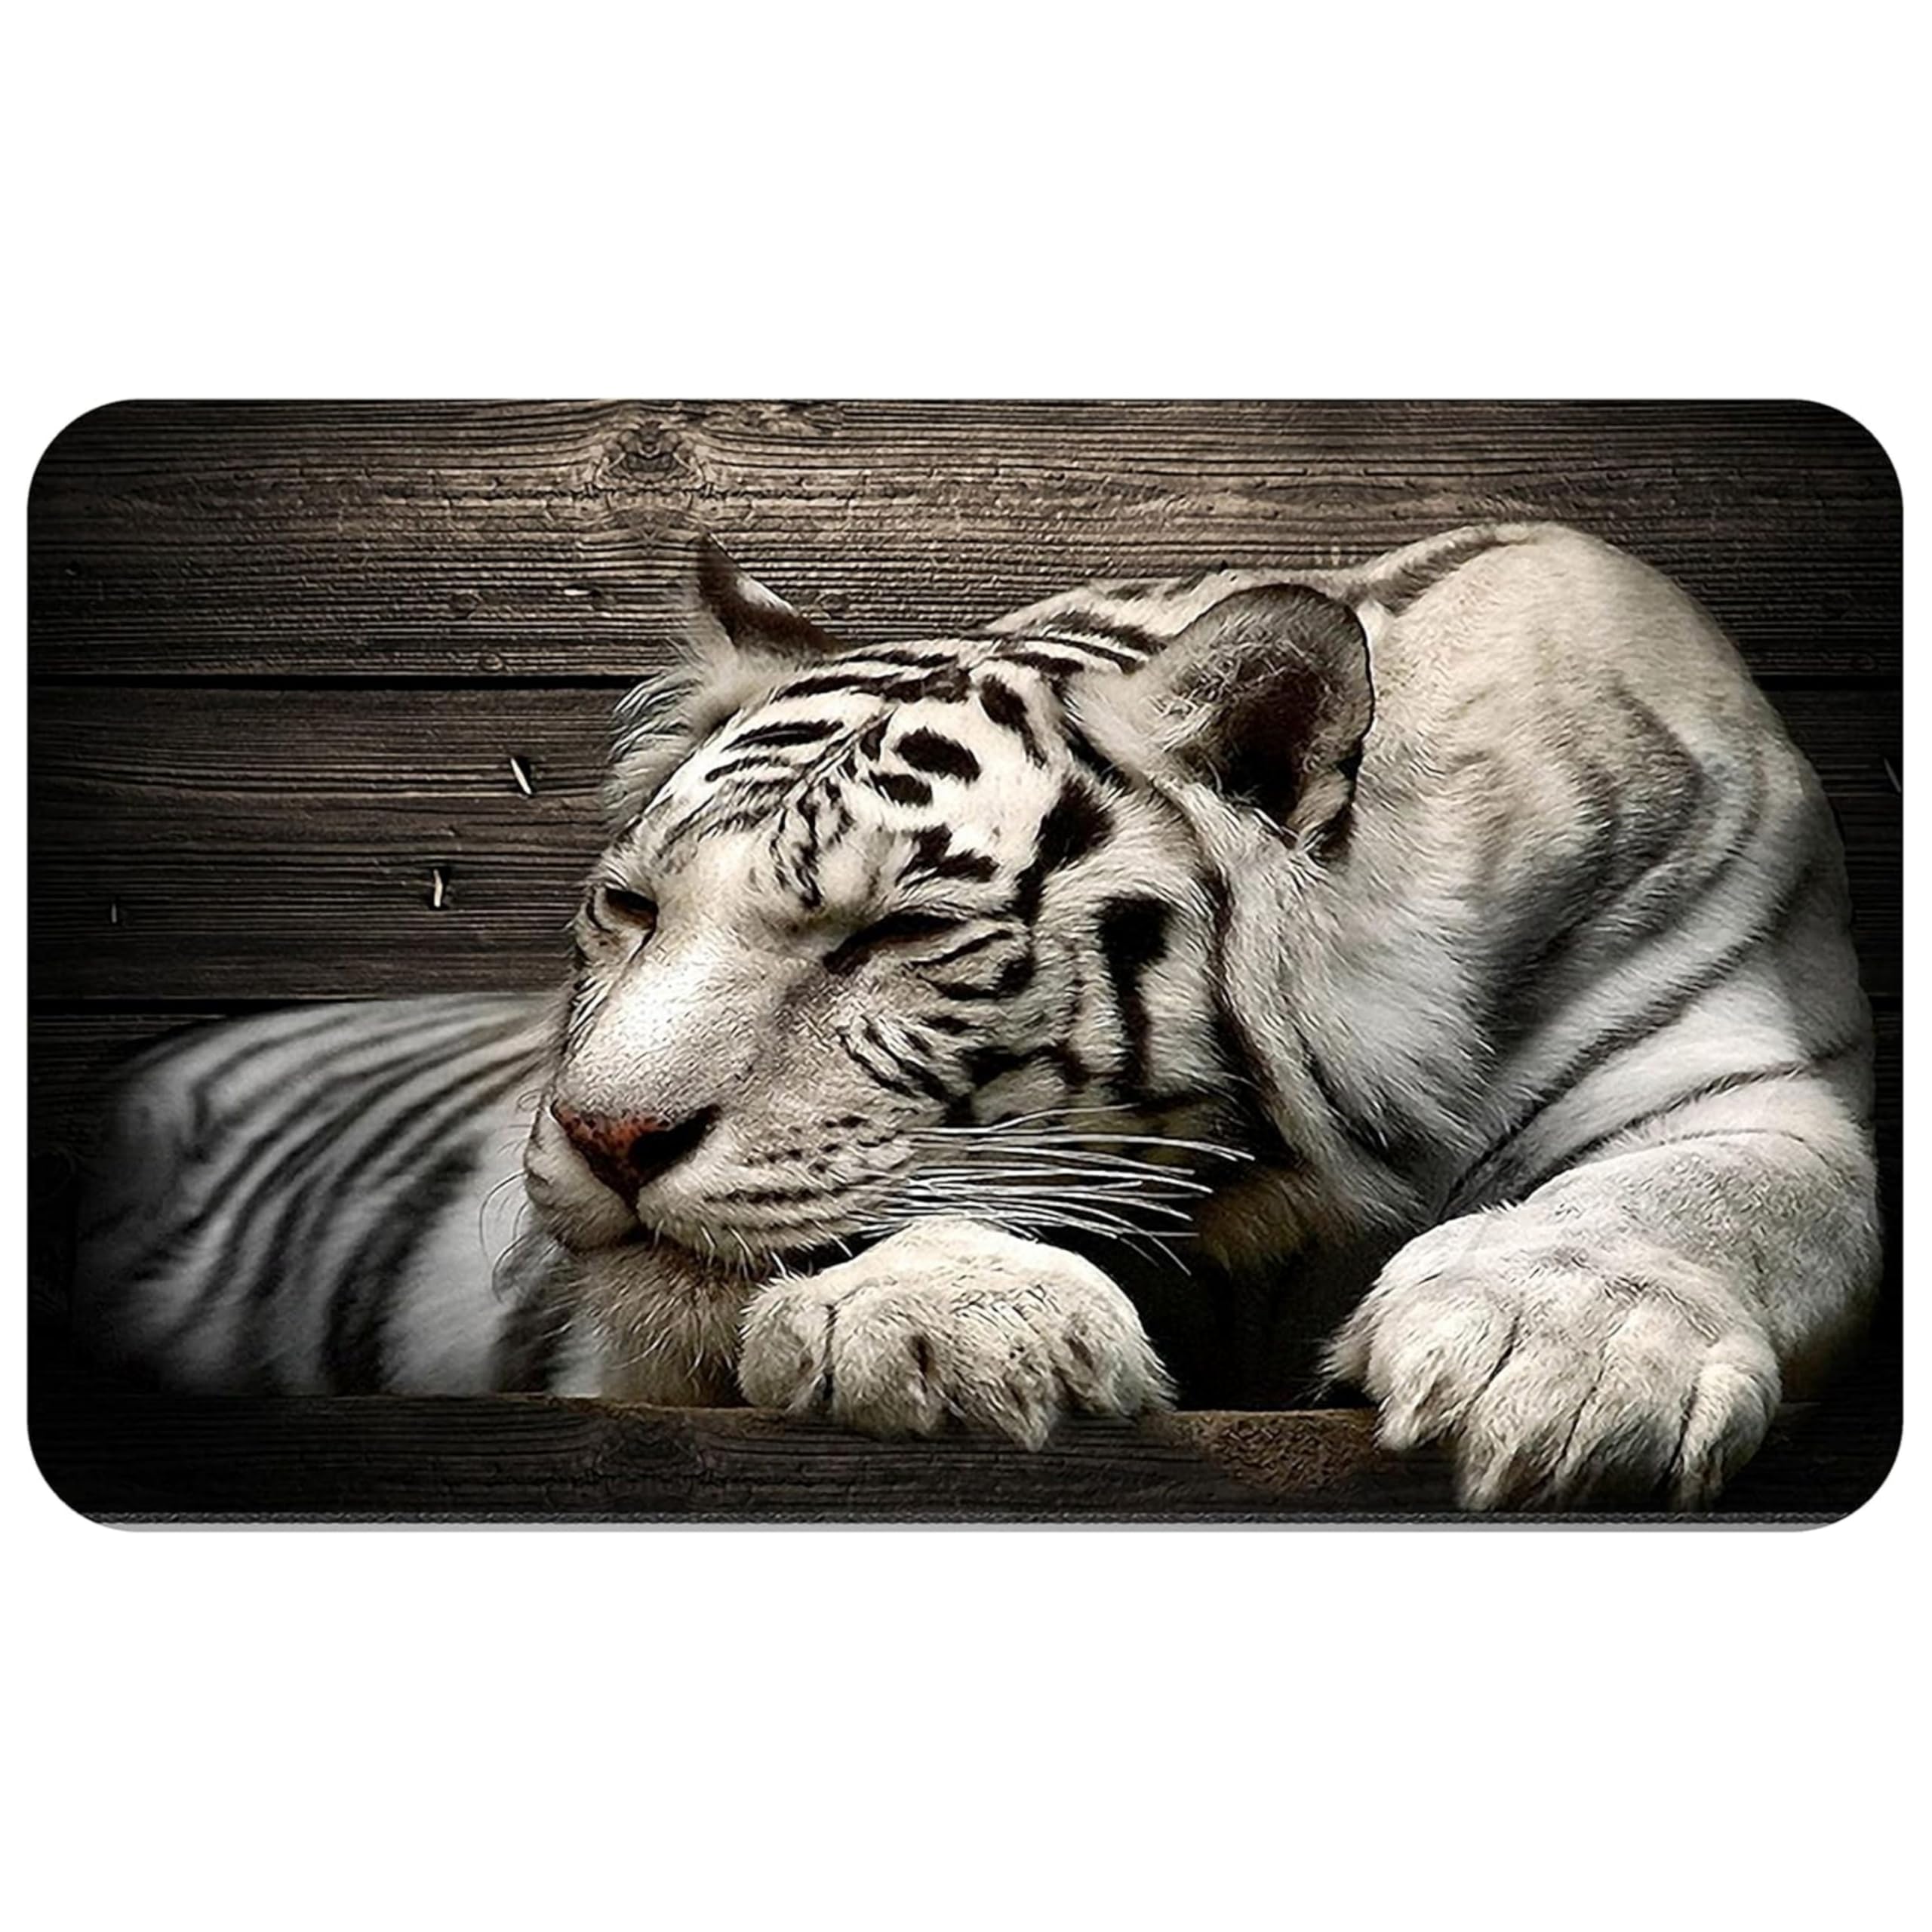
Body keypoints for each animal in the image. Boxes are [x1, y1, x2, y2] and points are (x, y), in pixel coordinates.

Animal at [71, 522, 1881, 1508]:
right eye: (635, 909)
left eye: (898, 933)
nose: (602, 1134)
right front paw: (949, 1320)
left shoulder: (1748, 1069)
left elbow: (1702, 1191)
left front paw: (1558, 1359)